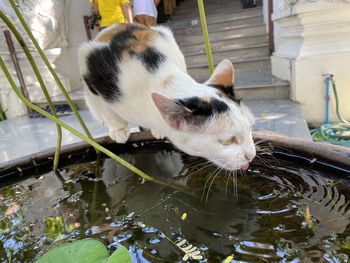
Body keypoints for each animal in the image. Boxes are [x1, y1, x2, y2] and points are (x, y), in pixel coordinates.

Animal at [78, 22, 254, 171]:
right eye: (226, 141)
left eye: (250, 128)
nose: (251, 156)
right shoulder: (94, 77)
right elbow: (109, 113)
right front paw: (119, 130)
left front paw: (156, 130)